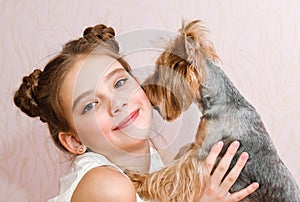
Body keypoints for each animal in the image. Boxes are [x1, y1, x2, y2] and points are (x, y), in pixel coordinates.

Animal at [126, 19, 300, 201]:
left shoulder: (200, 153)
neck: (220, 100)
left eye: (160, 72)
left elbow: (169, 173)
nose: (143, 88)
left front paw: (139, 179)